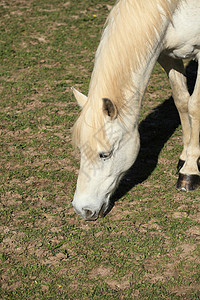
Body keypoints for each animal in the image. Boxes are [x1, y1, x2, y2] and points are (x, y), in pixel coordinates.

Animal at [72, 0, 200, 220]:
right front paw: (184, 157)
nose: (83, 209)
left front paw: (190, 171)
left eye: (104, 155)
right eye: (80, 149)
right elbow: (182, 101)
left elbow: (194, 106)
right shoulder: (167, 54)